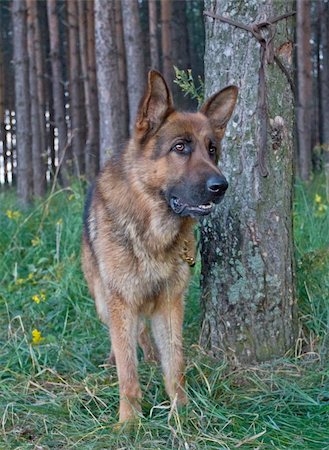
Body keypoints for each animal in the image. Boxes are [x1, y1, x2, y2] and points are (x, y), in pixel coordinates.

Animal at [81, 70, 236, 422]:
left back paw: (150, 358)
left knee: (143, 335)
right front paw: (129, 422)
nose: (221, 186)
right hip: (103, 301)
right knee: (122, 337)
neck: (153, 233)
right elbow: (128, 370)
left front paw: (182, 412)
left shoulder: (170, 304)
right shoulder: (121, 301)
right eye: (180, 147)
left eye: (212, 150)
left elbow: (175, 363)